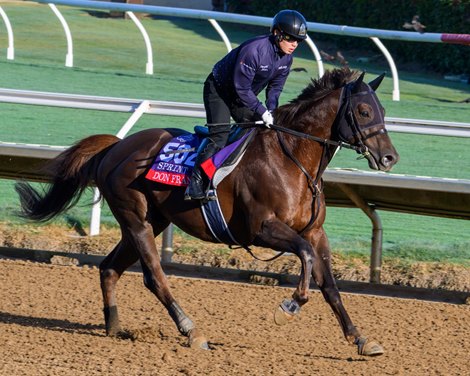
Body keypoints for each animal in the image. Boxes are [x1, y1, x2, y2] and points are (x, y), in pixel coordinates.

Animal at [15, 67, 396, 356]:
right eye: (364, 111)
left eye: (382, 110)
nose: (390, 158)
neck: (293, 160)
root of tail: (116, 147)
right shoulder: (263, 228)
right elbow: (304, 256)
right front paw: (288, 308)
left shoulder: (315, 232)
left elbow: (329, 284)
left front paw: (360, 339)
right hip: (136, 219)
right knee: (154, 276)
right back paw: (191, 330)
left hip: (152, 221)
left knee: (109, 268)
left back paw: (115, 327)